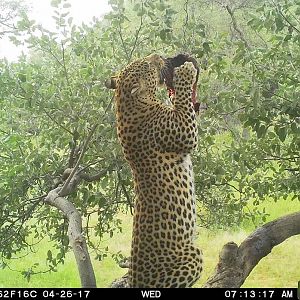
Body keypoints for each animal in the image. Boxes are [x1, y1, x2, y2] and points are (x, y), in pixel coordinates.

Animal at [106, 54, 203, 288]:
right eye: (148, 64)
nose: (157, 56)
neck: (127, 103)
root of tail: (136, 282)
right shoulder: (184, 130)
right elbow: (183, 105)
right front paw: (185, 72)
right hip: (192, 256)